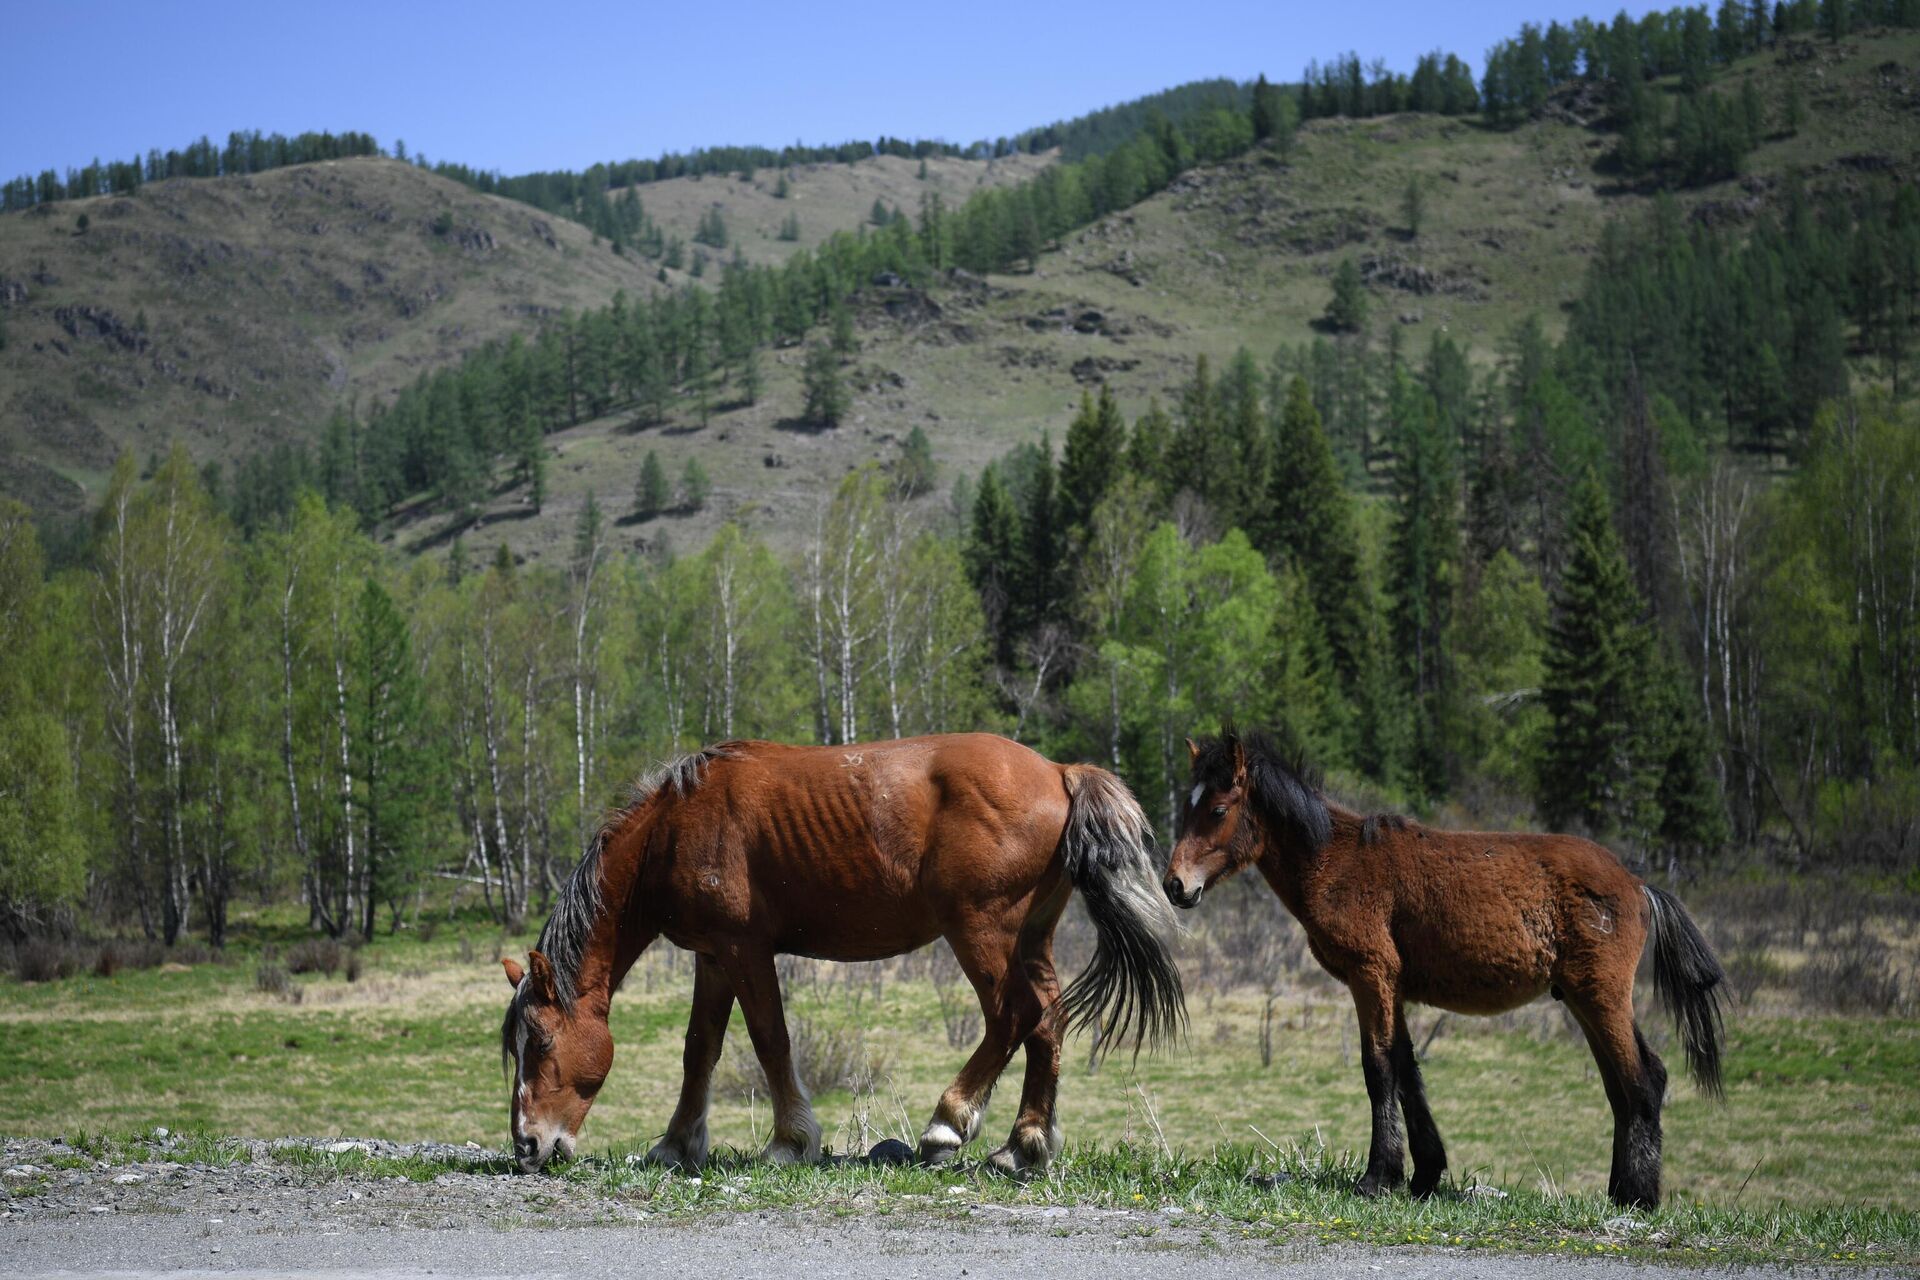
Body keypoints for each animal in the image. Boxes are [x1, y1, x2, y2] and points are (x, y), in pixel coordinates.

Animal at [503, 736, 1175, 1174]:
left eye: (541, 1042)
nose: (526, 1146)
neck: (674, 826)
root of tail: (1060, 770)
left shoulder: (744, 950)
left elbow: (770, 1040)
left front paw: (789, 1142)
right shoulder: (712, 958)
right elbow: (701, 1050)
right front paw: (676, 1144)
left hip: (981, 933)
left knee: (1013, 1016)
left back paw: (947, 1125)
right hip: (1030, 939)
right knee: (1049, 1022)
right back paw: (1024, 1144)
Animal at [1159, 729, 1735, 1212]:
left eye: (1216, 808)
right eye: (1188, 807)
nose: (1175, 885)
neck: (1336, 860)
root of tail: (1638, 886)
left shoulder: (1371, 977)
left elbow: (1379, 1069)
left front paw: (1378, 1178)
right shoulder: (1394, 988)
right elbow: (1408, 1069)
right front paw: (1424, 1175)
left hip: (1601, 996)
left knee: (1640, 1082)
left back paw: (1638, 1198)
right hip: (1584, 999)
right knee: (1629, 1083)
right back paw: (1620, 1193)